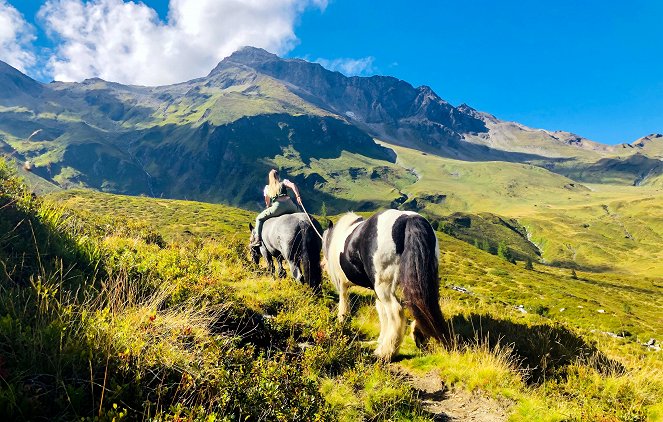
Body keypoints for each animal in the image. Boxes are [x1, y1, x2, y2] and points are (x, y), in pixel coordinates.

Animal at [322, 209, 452, 362]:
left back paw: (386, 353)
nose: (322, 265)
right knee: (422, 304)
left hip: (384, 285)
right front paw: (381, 339)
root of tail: (409, 219)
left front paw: (341, 324)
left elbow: (343, 306)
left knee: (396, 311)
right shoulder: (375, 290)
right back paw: (417, 335)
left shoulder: (343, 285)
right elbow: (382, 313)